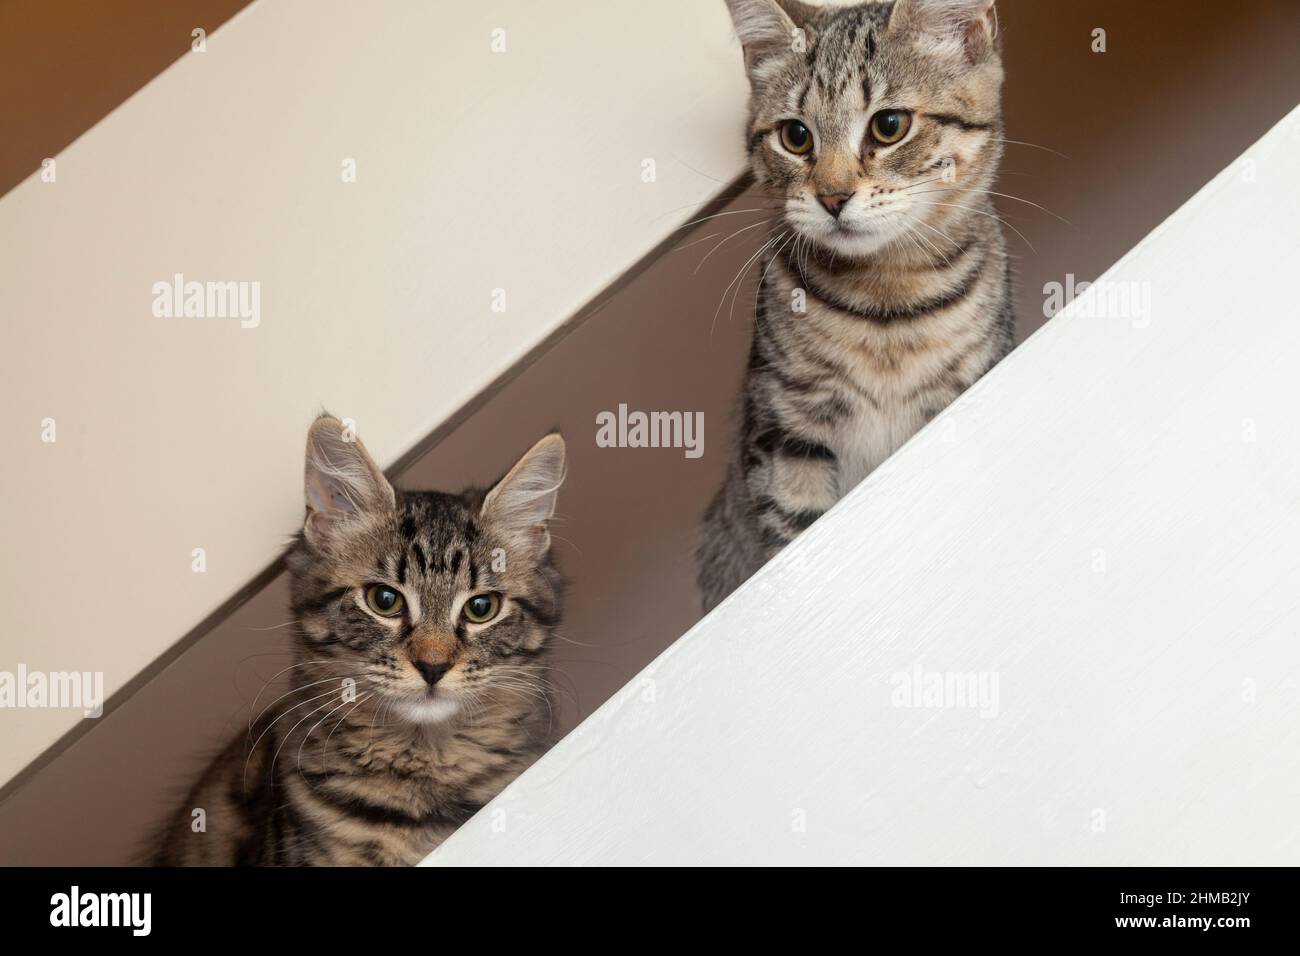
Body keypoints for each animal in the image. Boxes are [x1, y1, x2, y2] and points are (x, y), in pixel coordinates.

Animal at [702, 0, 1013, 608]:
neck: (885, 302)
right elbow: (794, 529)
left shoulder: (961, 391)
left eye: (889, 126)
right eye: (796, 136)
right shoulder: (786, 425)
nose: (832, 197)